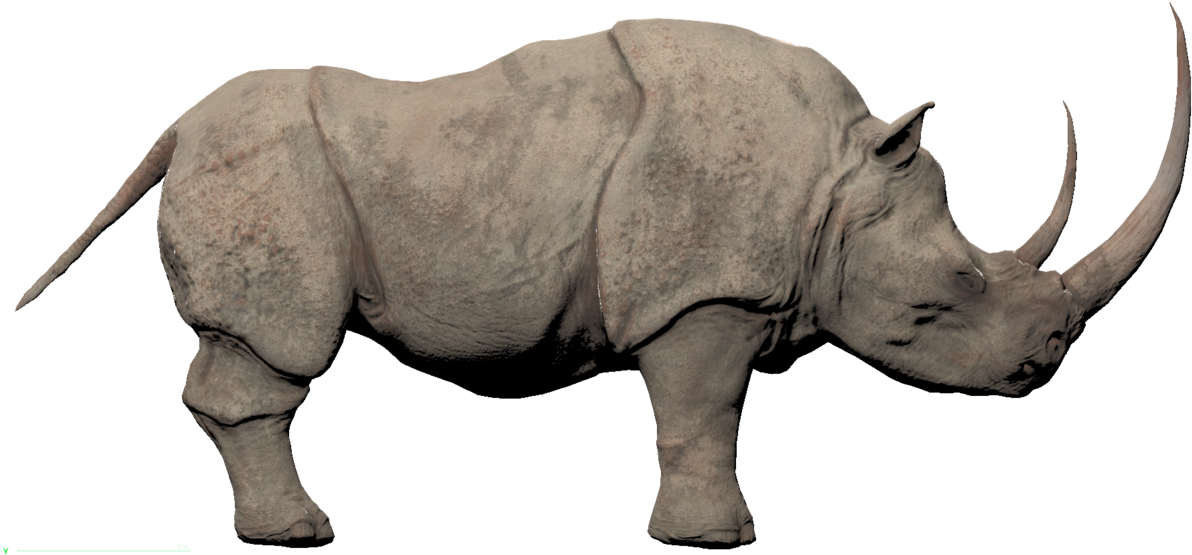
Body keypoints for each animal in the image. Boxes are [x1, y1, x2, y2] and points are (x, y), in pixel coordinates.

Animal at [11, 6, 1186, 546]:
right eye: (946, 296)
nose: (1048, 358)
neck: (838, 180)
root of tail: (171, 129)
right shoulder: (700, 290)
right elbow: (702, 411)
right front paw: (716, 537)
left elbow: (698, 413)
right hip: (261, 168)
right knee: (279, 344)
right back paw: (299, 532)